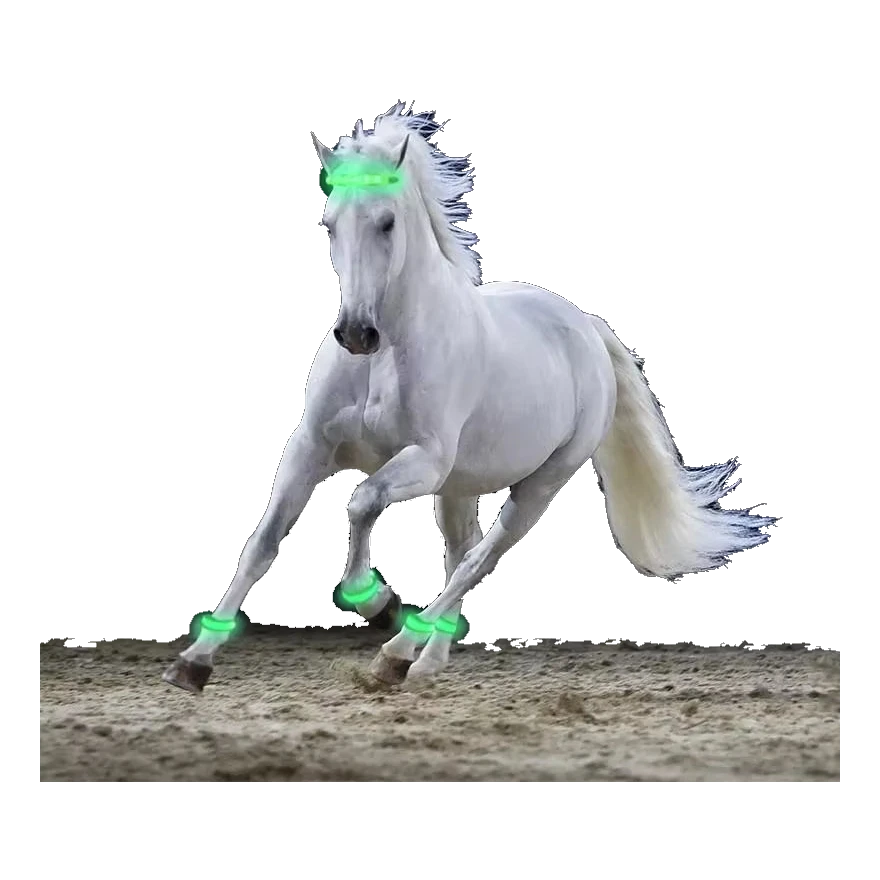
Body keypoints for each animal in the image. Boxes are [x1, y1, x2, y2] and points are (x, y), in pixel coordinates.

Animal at [162, 106, 774, 694]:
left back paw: (395, 655)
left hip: (536, 485)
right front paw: (193, 663)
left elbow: (361, 502)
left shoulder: (424, 461)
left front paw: (372, 599)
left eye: (387, 221)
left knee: (478, 561)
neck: (389, 355)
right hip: (458, 488)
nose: (356, 334)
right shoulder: (311, 448)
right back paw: (423, 663)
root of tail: (586, 328)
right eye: (330, 222)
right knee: (462, 553)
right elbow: (263, 541)